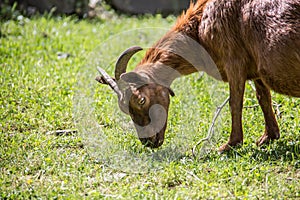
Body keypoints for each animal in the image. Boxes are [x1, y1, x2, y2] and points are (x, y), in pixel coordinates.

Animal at [96, 0, 300, 151]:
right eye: (124, 108)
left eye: (141, 100)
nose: (148, 141)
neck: (200, 25)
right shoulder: (255, 71)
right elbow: (263, 97)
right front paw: (268, 137)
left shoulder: (234, 61)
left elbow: (235, 103)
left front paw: (229, 145)